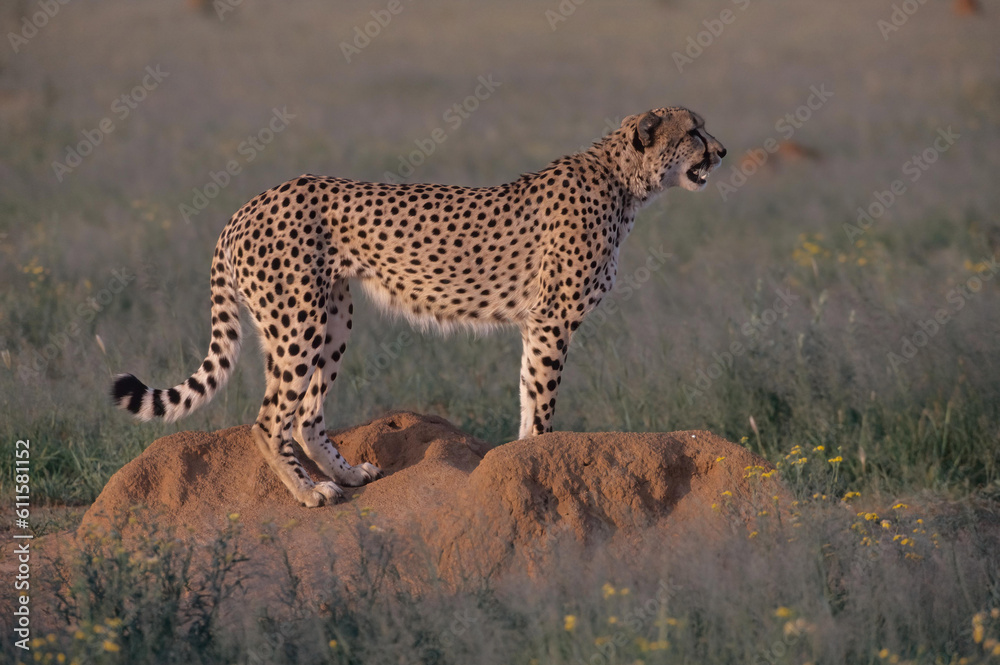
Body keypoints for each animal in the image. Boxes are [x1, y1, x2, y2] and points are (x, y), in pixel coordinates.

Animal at [111, 106, 726, 507]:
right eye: (693, 131)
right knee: (268, 420)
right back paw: (310, 492)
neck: (624, 179)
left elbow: (529, 396)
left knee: (306, 414)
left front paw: (523, 457)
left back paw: (347, 476)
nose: (721, 152)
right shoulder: (553, 319)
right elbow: (544, 400)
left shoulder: (536, 324)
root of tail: (250, 203)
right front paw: (538, 459)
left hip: (334, 316)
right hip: (297, 322)